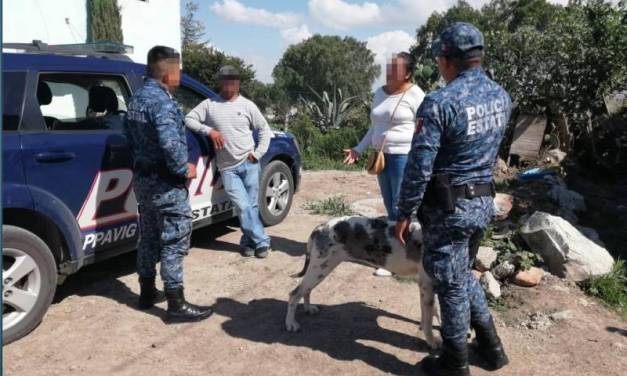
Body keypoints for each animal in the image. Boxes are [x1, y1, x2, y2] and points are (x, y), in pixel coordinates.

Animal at [284, 216, 442, 352]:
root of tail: (320, 227)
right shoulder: (427, 285)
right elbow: (428, 319)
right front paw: (432, 341)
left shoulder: (429, 285)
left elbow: (432, 312)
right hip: (319, 269)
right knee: (294, 294)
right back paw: (290, 323)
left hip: (319, 271)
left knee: (305, 291)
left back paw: (308, 308)